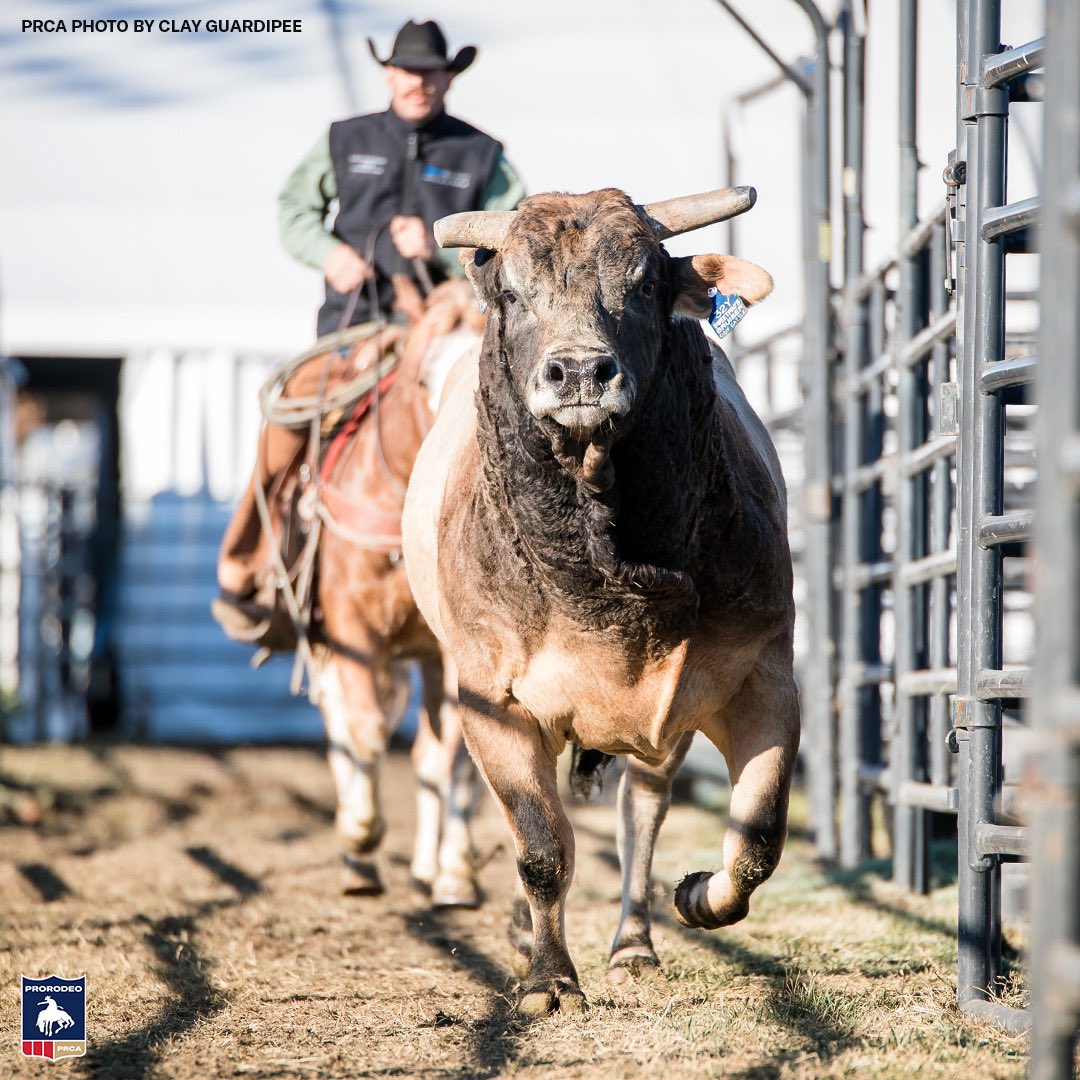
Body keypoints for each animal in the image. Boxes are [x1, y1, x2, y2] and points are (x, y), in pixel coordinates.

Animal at [401, 186, 799, 1017]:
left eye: (645, 283)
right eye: (510, 292)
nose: (579, 371)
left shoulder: (763, 679)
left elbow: (756, 840)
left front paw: (698, 897)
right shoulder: (492, 699)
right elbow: (542, 847)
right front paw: (549, 978)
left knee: (641, 814)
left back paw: (635, 943)